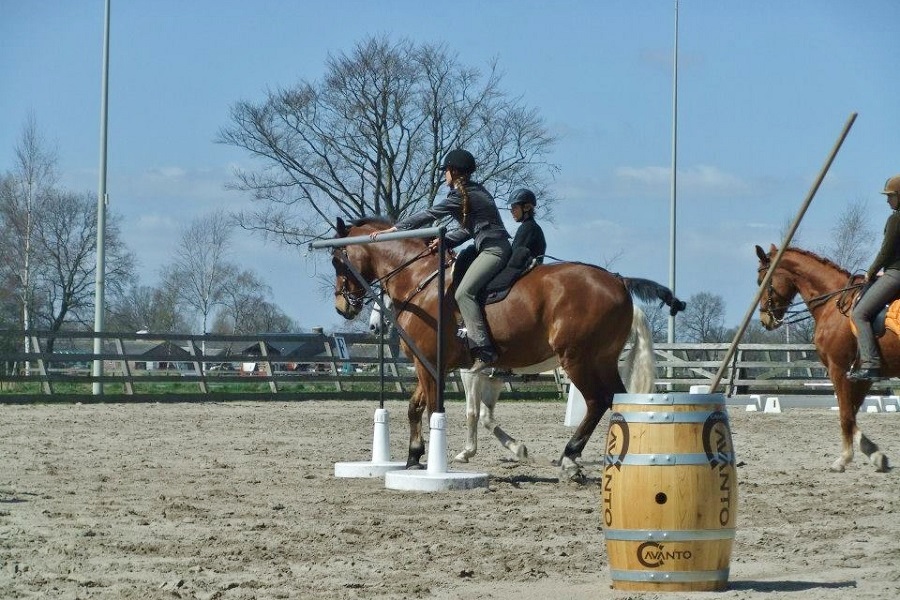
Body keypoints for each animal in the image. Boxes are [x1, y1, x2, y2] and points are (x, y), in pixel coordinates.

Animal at [329, 216, 657, 481]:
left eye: (337, 261)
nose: (343, 307)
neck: (420, 281)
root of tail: (618, 281)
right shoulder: (434, 366)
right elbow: (416, 408)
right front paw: (413, 457)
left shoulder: (442, 367)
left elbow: (443, 411)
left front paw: (440, 459)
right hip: (602, 361)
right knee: (619, 400)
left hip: (578, 360)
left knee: (596, 401)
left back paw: (570, 458)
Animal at [755, 244, 891, 472]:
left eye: (761, 281)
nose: (765, 319)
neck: (835, 302)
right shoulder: (863, 375)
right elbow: (852, 413)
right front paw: (875, 454)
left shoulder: (838, 369)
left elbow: (845, 415)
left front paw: (843, 459)